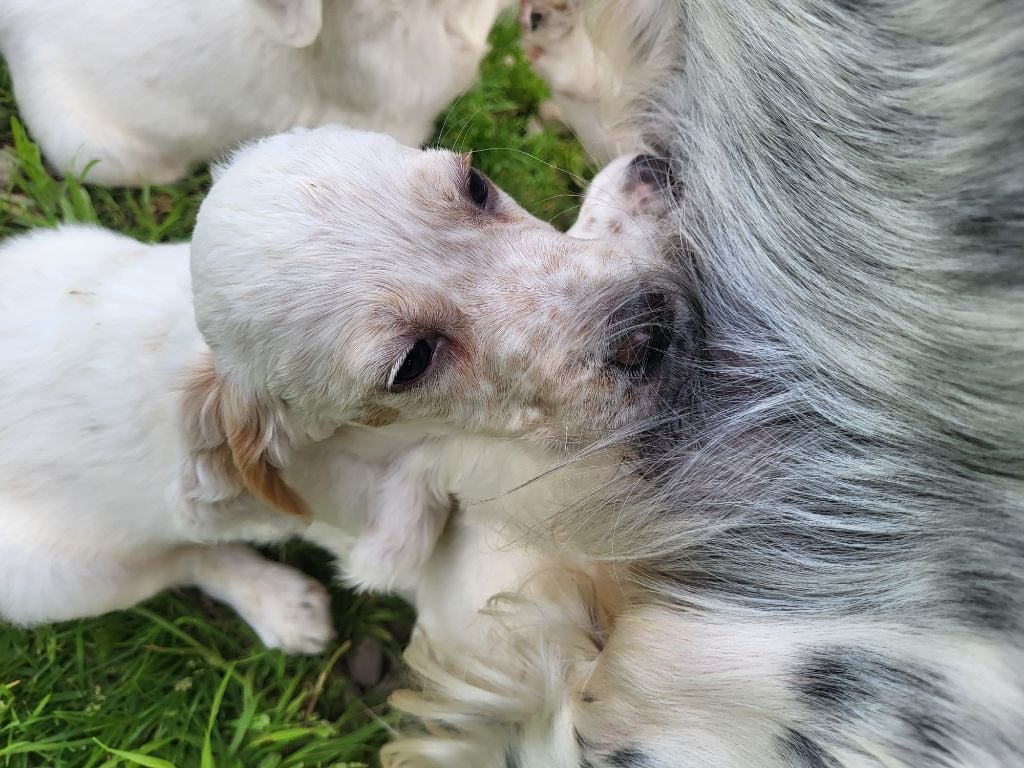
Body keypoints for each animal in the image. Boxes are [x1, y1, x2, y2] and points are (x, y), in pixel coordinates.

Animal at [0, 124, 679, 655]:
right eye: (412, 363)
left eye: (476, 185)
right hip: (54, 578)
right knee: (186, 559)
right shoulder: (407, 543)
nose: (653, 328)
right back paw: (281, 604)